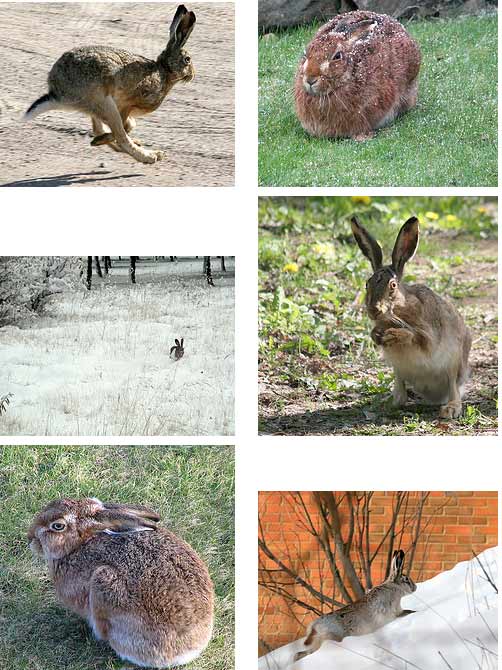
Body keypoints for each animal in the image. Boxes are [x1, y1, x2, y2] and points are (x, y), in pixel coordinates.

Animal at [24, 5, 196, 164]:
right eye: (187, 59)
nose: (193, 75)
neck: (164, 71)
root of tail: (57, 94)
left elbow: (129, 125)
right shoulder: (127, 103)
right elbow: (126, 126)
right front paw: (104, 140)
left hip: (98, 106)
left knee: (99, 129)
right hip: (103, 103)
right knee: (119, 136)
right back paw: (149, 155)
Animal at [351, 216, 472, 419]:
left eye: (392, 285)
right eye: (367, 284)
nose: (373, 310)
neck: (398, 309)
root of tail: (434, 394)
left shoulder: (430, 334)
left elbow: (418, 337)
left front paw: (394, 335)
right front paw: (376, 335)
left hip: (453, 364)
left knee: (454, 389)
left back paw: (450, 409)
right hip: (398, 370)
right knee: (401, 394)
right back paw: (388, 404)